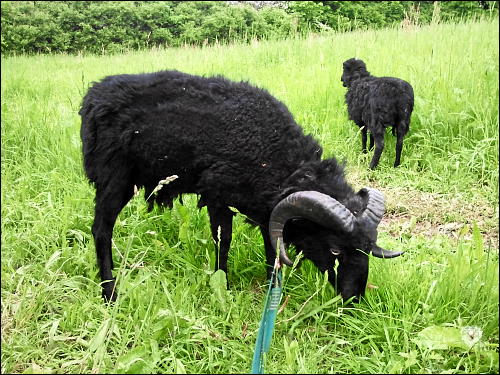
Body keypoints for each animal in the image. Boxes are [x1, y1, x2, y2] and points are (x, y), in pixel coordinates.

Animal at [80, 69, 404, 304]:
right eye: (335, 249)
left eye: (369, 245)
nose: (354, 299)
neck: (278, 158)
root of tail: (94, 95)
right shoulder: (217, 196)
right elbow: (222, 241)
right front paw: (222, 283)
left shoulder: (268, 208)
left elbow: (273, 249)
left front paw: (273, 289)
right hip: (114, 177)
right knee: (101, 230)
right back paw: (109, 292)